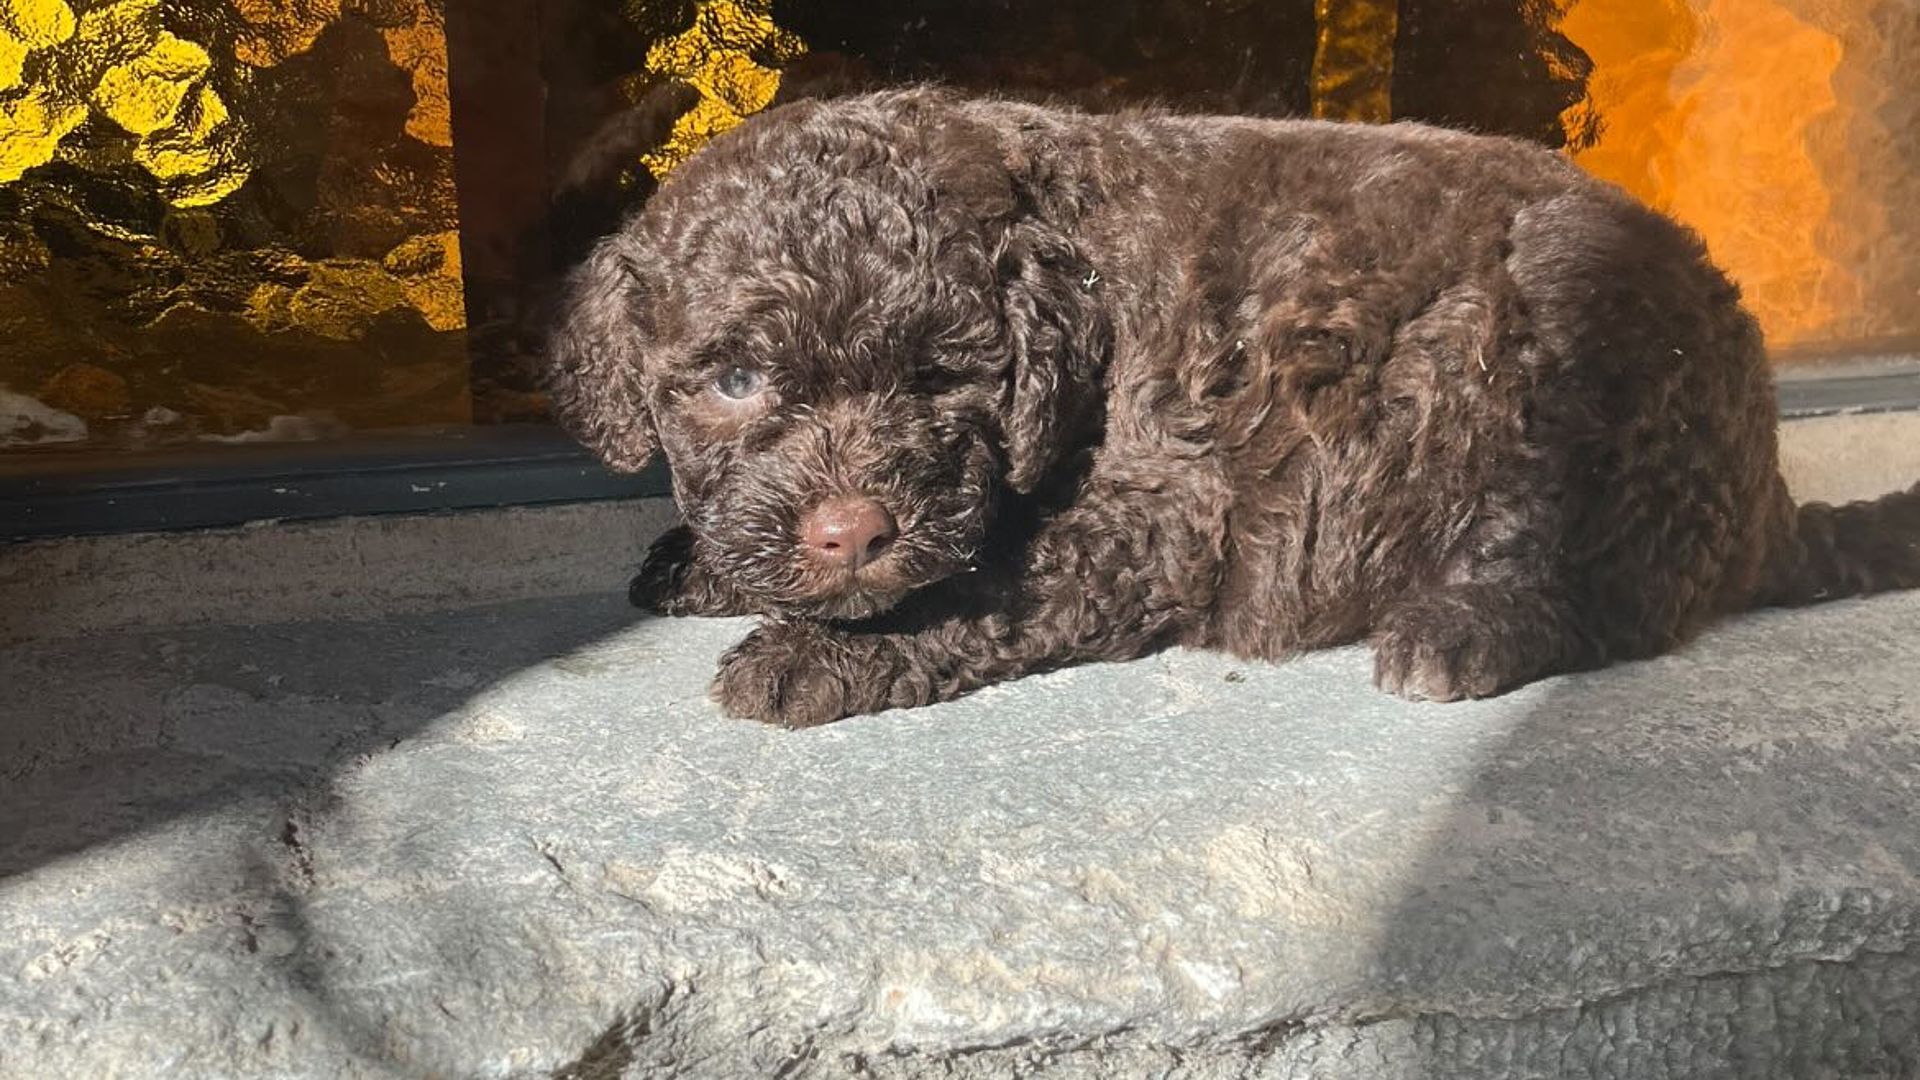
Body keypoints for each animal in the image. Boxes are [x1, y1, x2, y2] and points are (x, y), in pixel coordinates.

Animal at [548, 87, 1920, 727]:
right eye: (733, 381)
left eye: (942, 375)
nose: (851, 534)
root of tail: (1769, 491)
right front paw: (705, 564)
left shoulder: (1159, 512)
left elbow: (983, 585)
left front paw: (805, 656)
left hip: (1547, 376)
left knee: (1600, 577)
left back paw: (1458, 633)